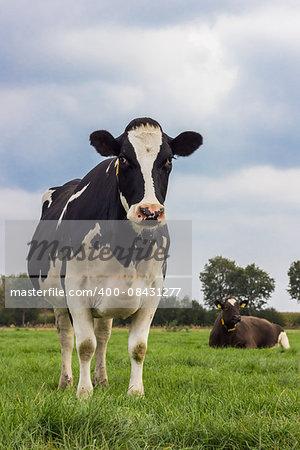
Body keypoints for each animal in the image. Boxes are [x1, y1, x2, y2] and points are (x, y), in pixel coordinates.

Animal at [28, 118, 203, 400]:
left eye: (168, 160)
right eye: (123, 158)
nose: (150, 211)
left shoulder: (152, 293)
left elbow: (138, 347)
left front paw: (135, 392)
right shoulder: (75, 291)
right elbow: (84, 344)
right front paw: (83, 393)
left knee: (103, 336)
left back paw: (102, 380)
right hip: (57, 298)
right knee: (67, 338)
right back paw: (66, 382)